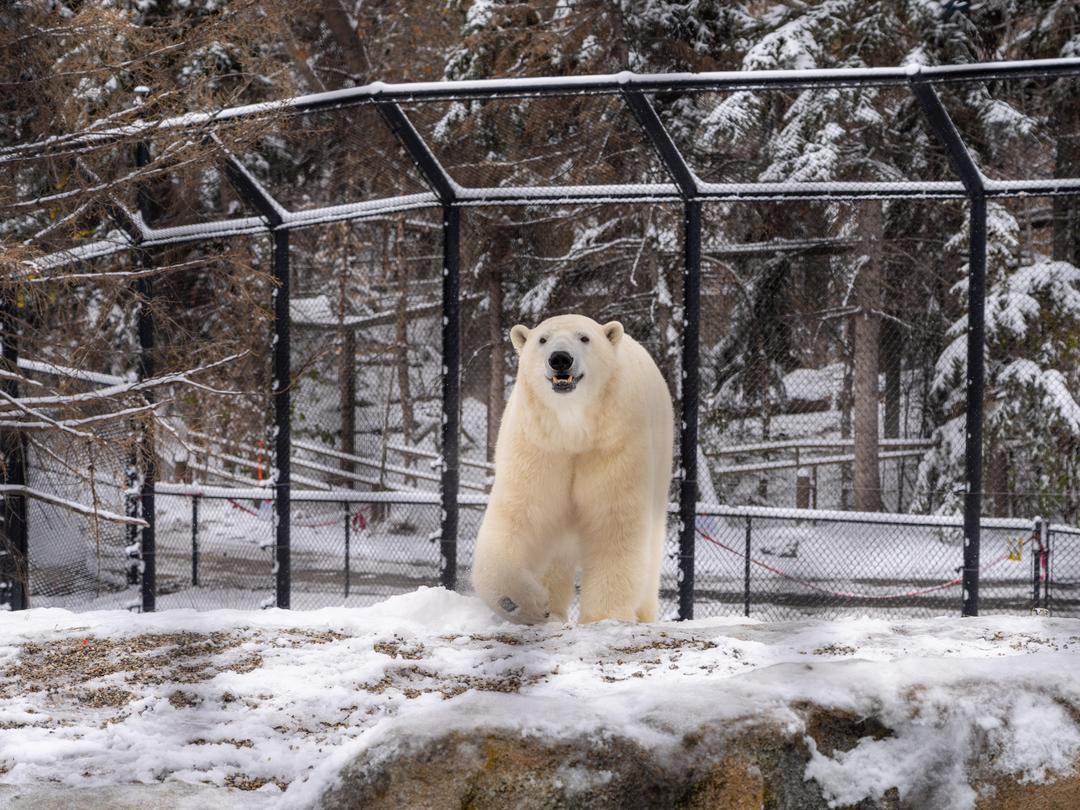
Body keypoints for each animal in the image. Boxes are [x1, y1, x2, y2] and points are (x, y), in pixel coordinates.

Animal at [470, 313, 675, 625]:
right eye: (542, 339)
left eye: (584, 337)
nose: (560, 359)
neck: (573, 429)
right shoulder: (539, 446)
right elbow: (519, 517)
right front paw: (529, 604)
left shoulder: (614, 443)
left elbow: (613, 522)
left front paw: (604, 617)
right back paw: (554, 608)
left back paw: (644, 615)